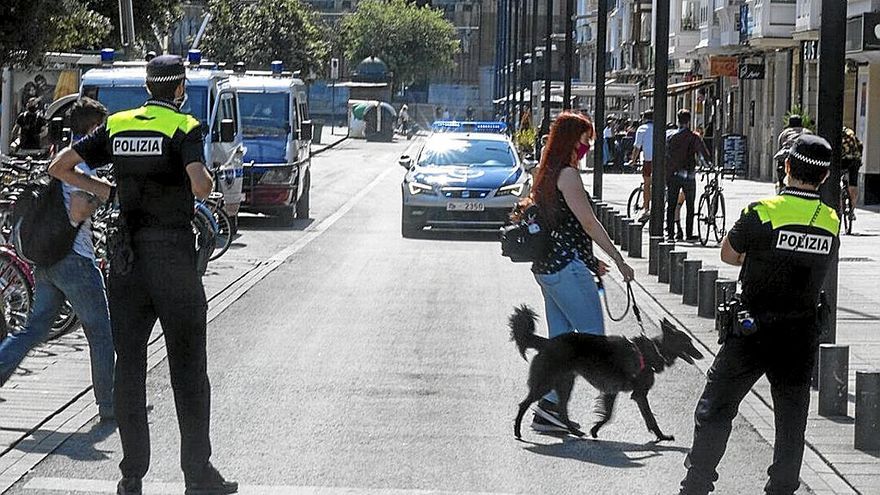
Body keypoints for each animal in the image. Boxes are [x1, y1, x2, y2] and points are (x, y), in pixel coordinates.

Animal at [508, 306, 700, 442]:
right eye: (687, 342)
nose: (701, 355)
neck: (654, 350)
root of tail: (547, 342)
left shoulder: (613, 391)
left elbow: (608, 414)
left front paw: (595, 429)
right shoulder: (639, 394)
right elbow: (650, 418)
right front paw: (662, 437)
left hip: (565, 384)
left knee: (562, 410)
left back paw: (575, 432)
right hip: (546, 383)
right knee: (524, 404)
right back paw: (517, 431)